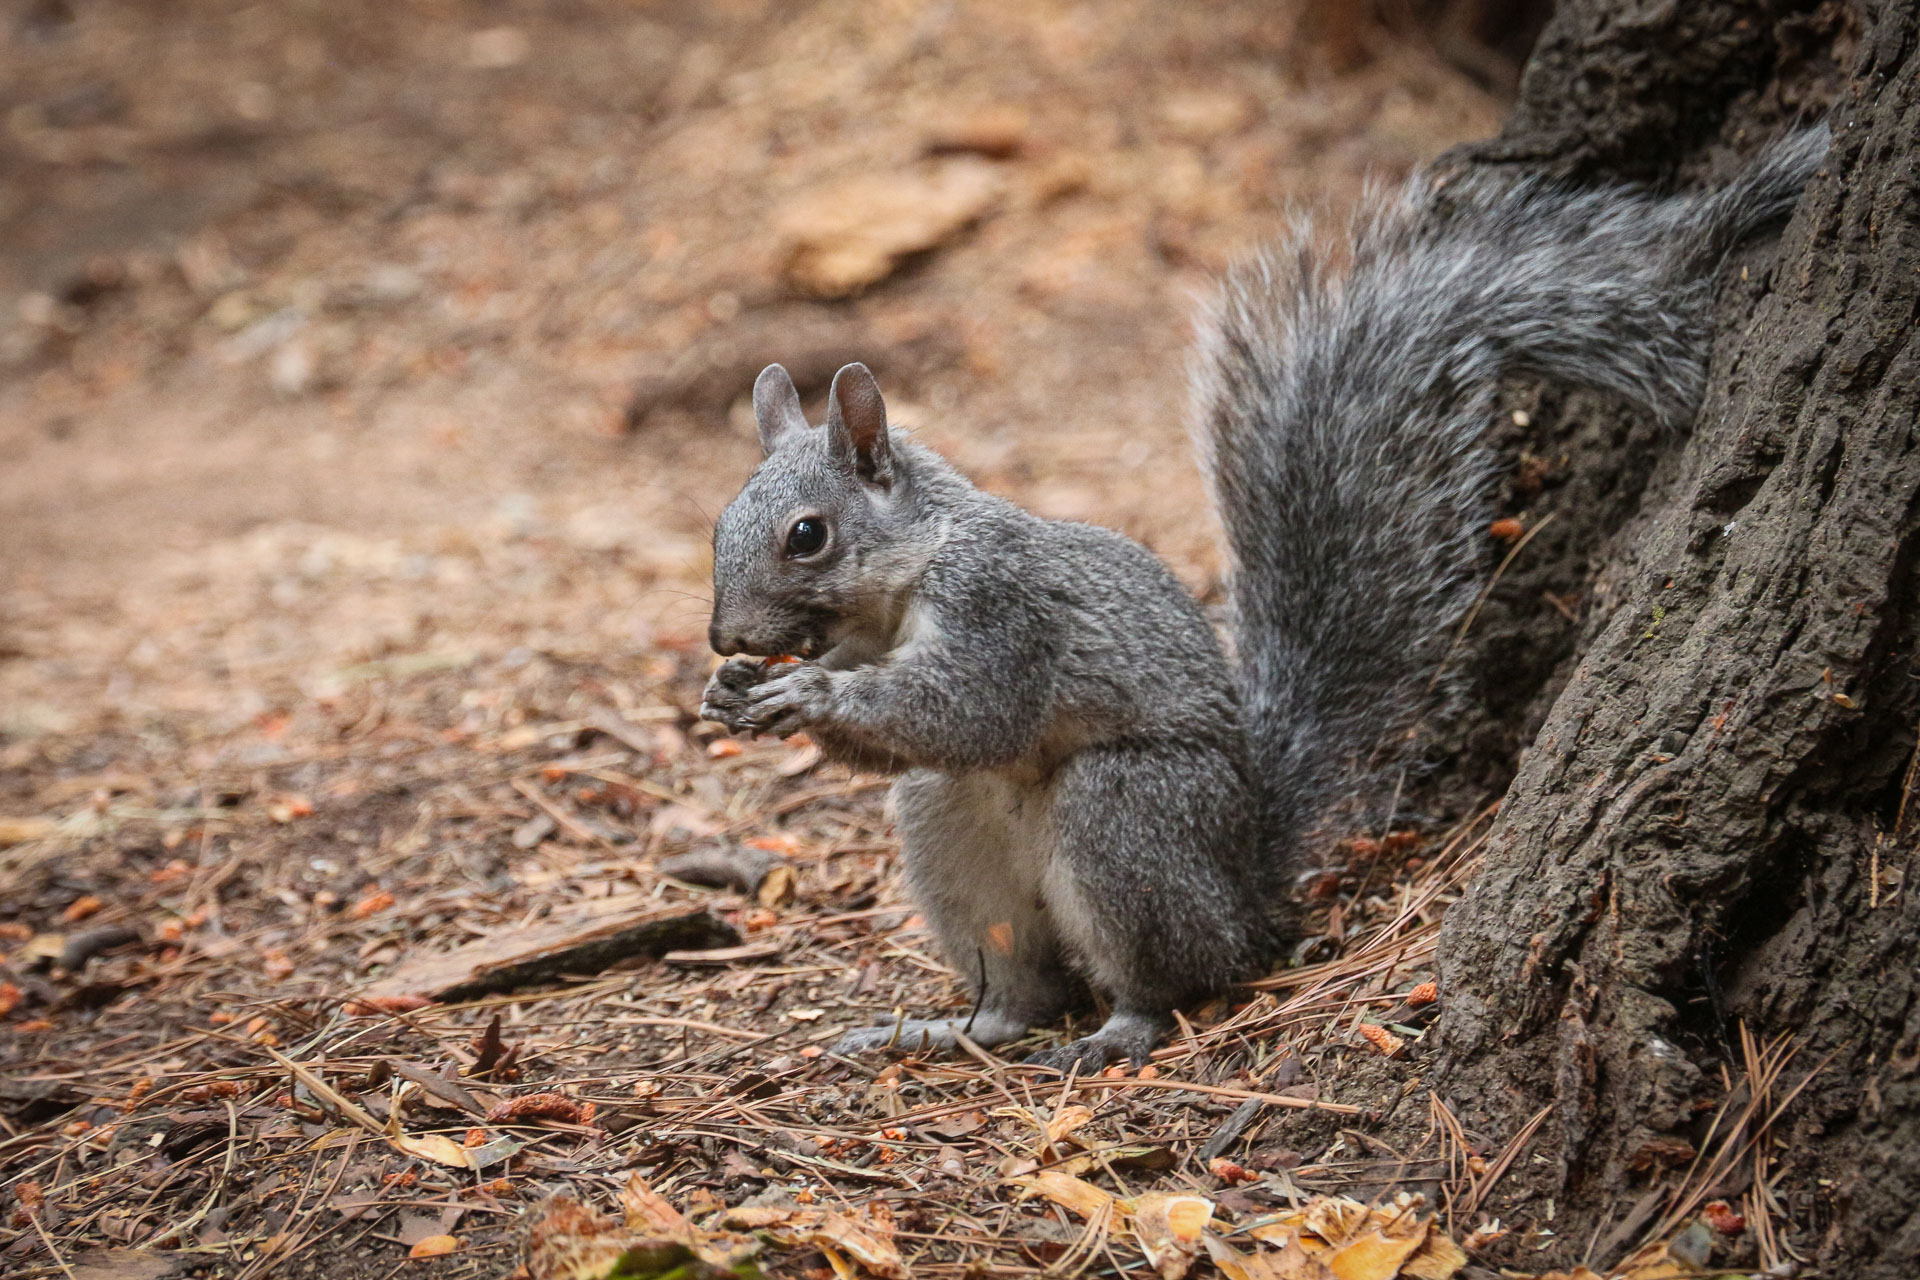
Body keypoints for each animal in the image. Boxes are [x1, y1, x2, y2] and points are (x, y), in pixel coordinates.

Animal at [695, 127, 1827, 1074]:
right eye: (718, 526)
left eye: (807, 534)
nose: (723, 634)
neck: (900, 586)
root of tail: (1246, 878)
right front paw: (736, 691)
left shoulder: (1002, 606)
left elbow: (971, 708)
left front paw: (805, 700)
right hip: (952, 831)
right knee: (1019, 982)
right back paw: (948, 1028)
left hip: (1129, 818)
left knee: (1182, 971)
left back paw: (1121, 1027)